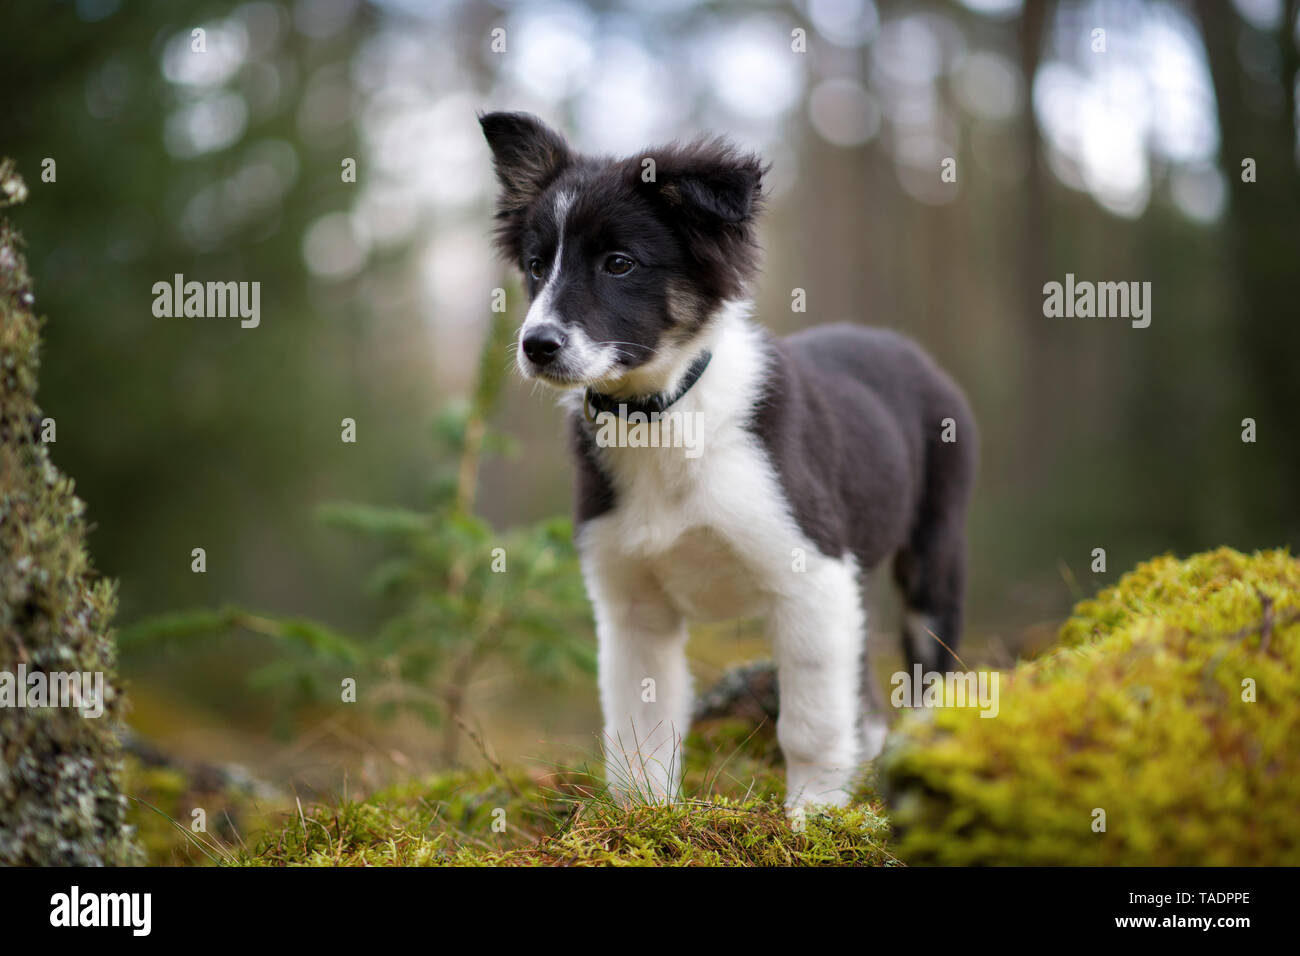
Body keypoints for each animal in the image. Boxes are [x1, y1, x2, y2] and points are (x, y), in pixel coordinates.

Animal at [478, 115, 977, 811]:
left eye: (619, 263)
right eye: (534, 265)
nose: (536, 345)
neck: (663, 414)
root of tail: (907, 349)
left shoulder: (811, 573)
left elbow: (810, 721)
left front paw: (815, 812)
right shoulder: (633, 605)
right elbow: (639, 728)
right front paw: (643, 818)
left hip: (935, 549)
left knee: (928, 665)